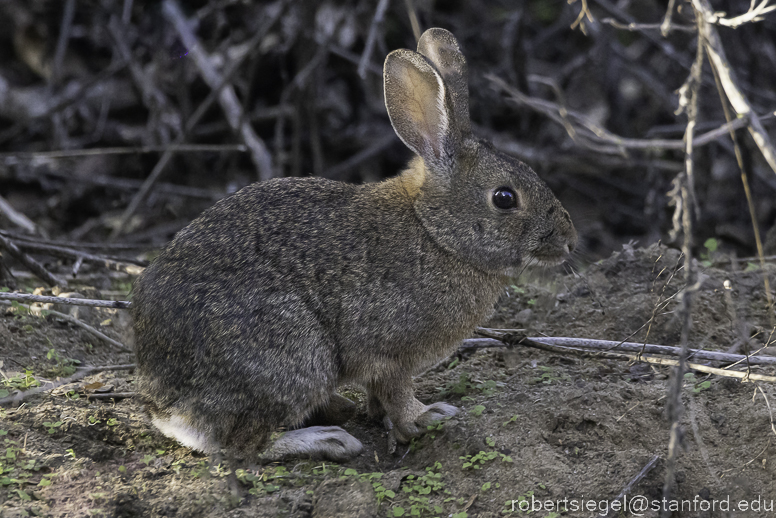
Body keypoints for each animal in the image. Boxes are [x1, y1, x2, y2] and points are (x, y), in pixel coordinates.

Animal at [130, 27, 576, 468]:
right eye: (505, 198)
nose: (568, 238)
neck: (435, 232)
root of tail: (166, 409)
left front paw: (388, 419)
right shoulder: (389, 353)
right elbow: (397, 392)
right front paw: (427, 417)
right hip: (293, 355)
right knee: (242, 445)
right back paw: (328, 438)